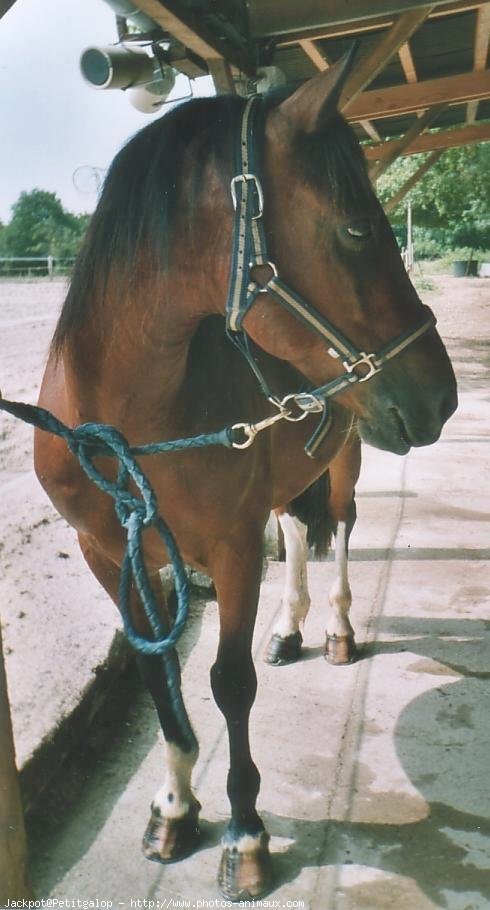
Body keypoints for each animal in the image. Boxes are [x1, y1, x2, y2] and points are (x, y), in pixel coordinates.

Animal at [33, 53, 456, 900]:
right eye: (356, 228)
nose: (445, 396)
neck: (129, 430)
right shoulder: (110, 553)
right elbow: (161, 677)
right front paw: (173, 807)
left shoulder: (230, 548)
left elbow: (228, 682)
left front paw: (246, 832)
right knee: (294, 527)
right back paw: (289, 628)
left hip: (344, 459)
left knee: (340, 529)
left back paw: (334, 629)